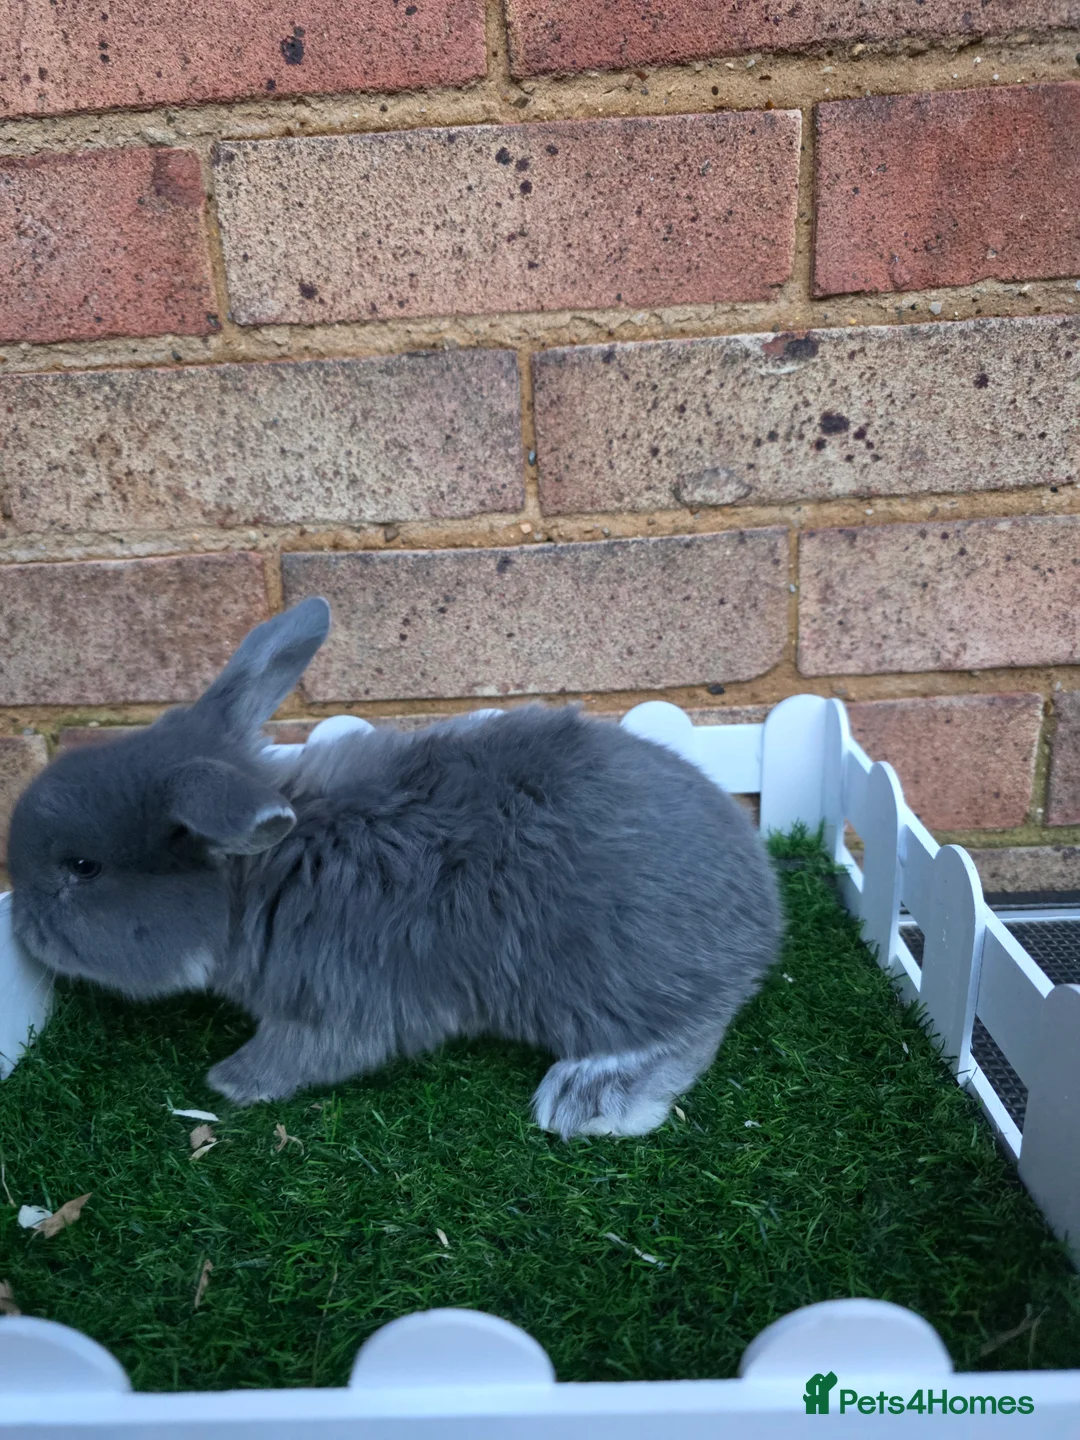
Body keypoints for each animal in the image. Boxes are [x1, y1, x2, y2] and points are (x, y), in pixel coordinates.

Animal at [7, 599, 782, 1138]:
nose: (23, 929)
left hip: (607, 975)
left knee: (691, 1030)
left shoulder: (336, 1006)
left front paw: (229, 1082)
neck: (259, 878)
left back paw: (588, 1098)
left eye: (83, 867)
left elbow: (299, 1057)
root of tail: (764, 916)